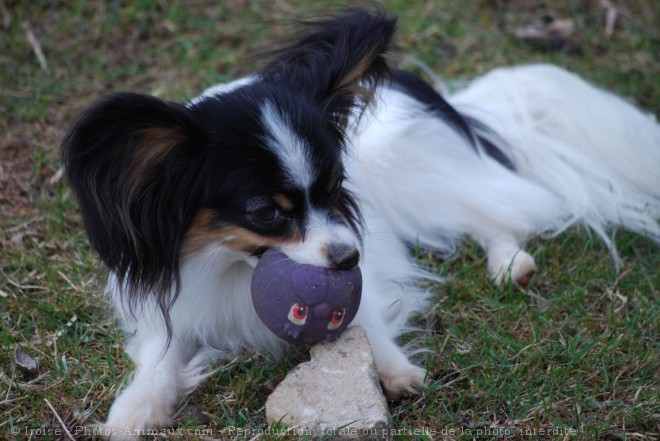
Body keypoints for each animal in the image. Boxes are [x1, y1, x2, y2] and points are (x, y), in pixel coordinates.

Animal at [62, 8, 660, 438]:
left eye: (334, 187)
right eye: (266, 214)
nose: (349, 257)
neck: (234, 263)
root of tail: (426, 93)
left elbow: (367, 319)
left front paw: (394, 371)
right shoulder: (181, 303)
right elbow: (161, 360)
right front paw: (134, 411)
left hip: (424, 184)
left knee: (498, 210)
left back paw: (509, 261)